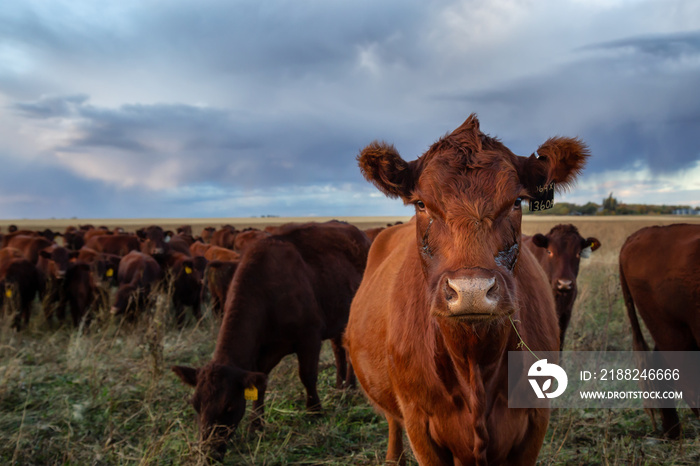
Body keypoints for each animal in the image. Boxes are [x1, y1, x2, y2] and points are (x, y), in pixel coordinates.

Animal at [172, 222, 370, 462]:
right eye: (195, 405)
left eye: (229, 406)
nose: (208, 453)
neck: (267, 291)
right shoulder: (261, 353)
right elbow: (260, 384)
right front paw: (256, 425)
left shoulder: (309, 337)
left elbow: (307, 376)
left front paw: (314, 411)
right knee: (339, 350)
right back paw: (342, 386)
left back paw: (349, 388)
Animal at [344, 114, 584, 466]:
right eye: (421, 204)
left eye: (516, 201)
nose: (471, 290)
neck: (474, 361)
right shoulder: (419, 424)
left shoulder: (535, 421)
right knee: (392, 422)